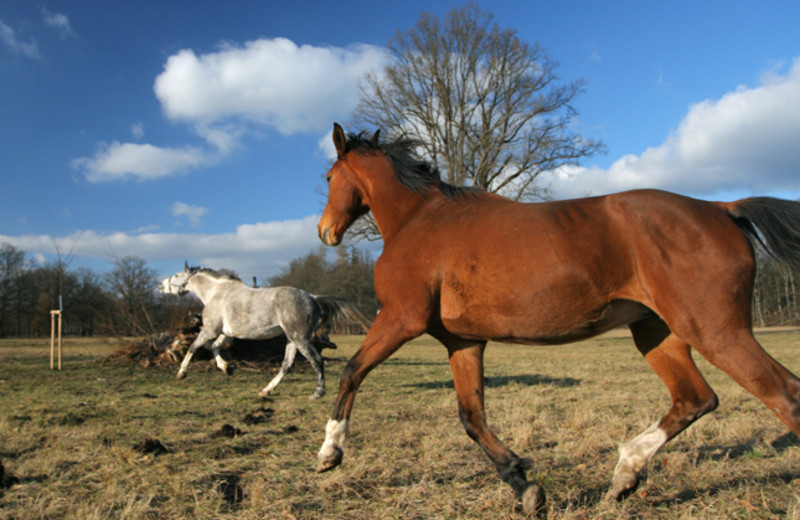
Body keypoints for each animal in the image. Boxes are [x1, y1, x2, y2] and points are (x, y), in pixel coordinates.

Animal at [158, 266, 370, 400]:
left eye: (176, 276)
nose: (160, 286)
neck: (216, 293)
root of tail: (312, 297)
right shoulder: (226, 332)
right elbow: (214, 347)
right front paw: (227, 368)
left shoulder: (210, 329)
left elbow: (194, 347)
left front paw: (181, 373)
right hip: (291, 340)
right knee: (287, 364)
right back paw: (266, 391)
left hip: (300, 338)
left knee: (317, 360)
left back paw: (317, 394)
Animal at [312, 123, 800, 516]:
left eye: (330, 178)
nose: (325, 231)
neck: (420, 219)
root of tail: (722, 208)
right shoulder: (462, 342)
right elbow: (472, 417)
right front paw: (526, 489)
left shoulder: (401, 319)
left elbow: (352, 371)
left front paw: (329, 452)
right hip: (657, 332)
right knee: (696, 399)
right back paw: (624, 476)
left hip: (714, 330)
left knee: (782, 395)